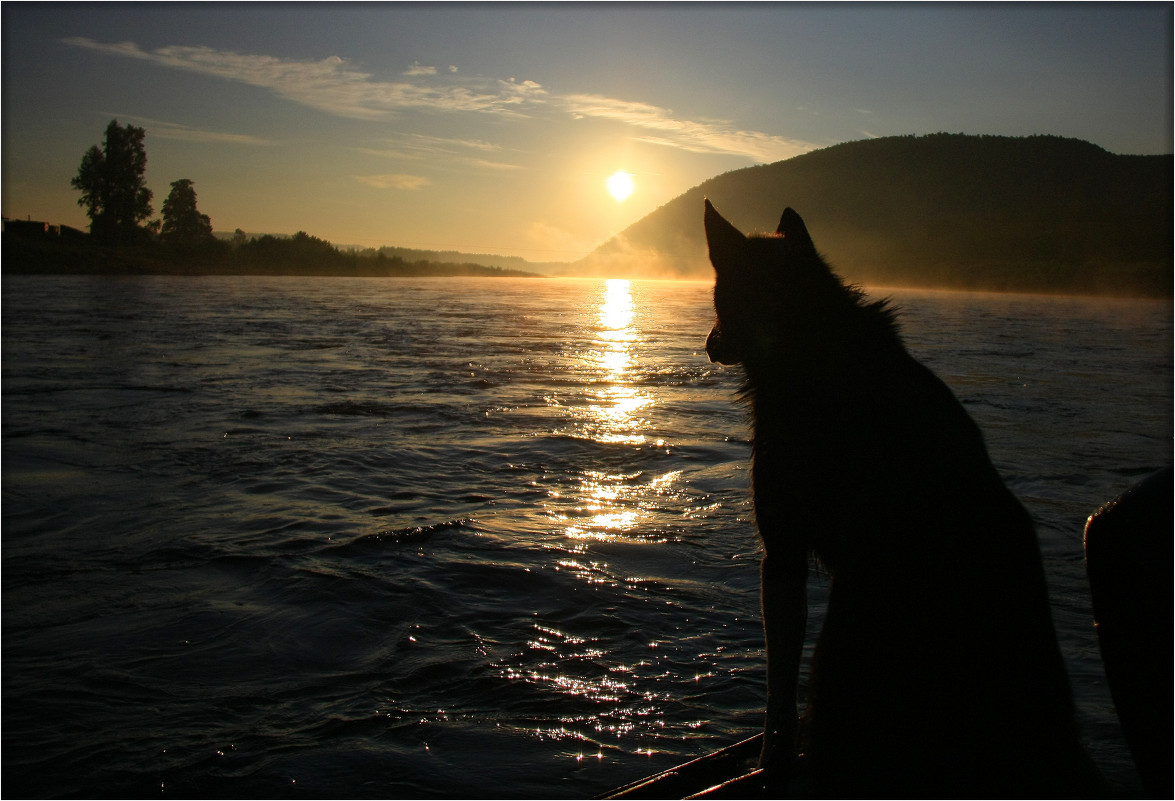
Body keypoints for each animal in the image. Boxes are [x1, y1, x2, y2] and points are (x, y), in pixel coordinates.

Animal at [705, 198, 1099, 793]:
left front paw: (770, 765)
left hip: (844, 644)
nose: (709, 344)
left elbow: (779, 696)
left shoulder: (782, 551)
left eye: (717, 292)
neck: (809, 340)